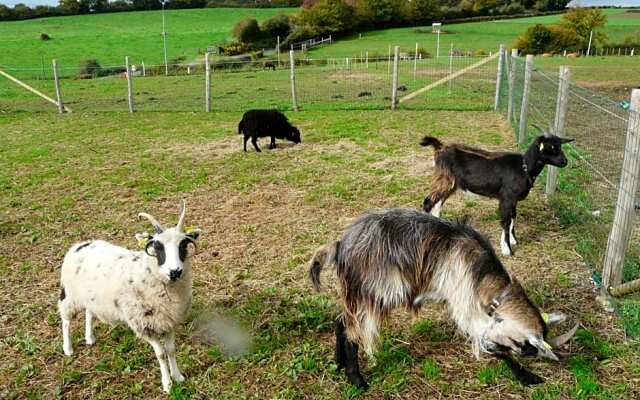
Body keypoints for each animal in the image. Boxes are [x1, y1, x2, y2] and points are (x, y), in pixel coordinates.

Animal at [59, 202, 202, 392]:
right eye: (157, 247)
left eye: (183, 245)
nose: (175, 271)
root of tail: (80, 244)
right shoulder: (144, 324)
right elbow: (161, 354)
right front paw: (167, 384)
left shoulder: (169, 320)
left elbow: (171, 350)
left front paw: (178, 377)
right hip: (69, 294)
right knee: (66, 321)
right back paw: (68, 348)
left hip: (91, 296)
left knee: (89, 312)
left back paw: (90, 338)